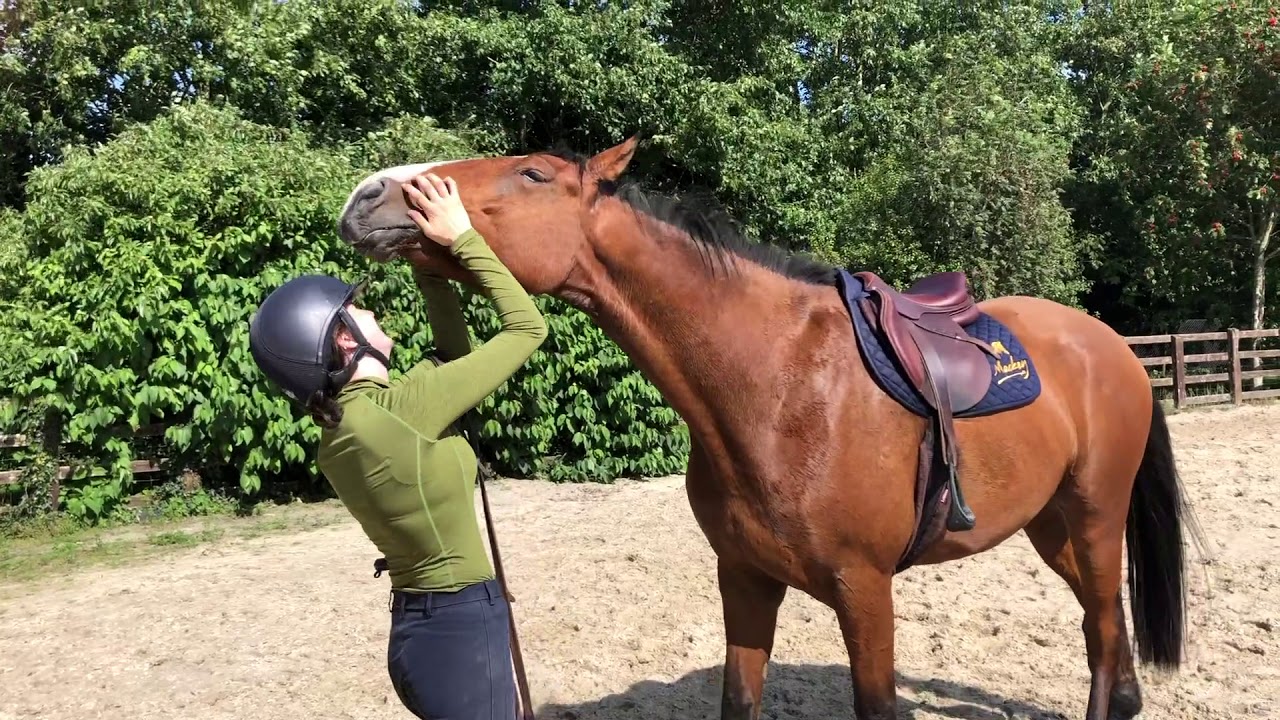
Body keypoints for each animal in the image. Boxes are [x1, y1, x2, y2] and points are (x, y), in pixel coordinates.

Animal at [332, 135, 1201, 720]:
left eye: (533, 173)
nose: (370, 192)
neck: (777, 384)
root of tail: (1112, 345)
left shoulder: (865, 589)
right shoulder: (744, 579)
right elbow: (738, 699)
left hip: (1093, 516)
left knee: (1102, 624)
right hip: (1051, 524)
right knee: (1102, 626)